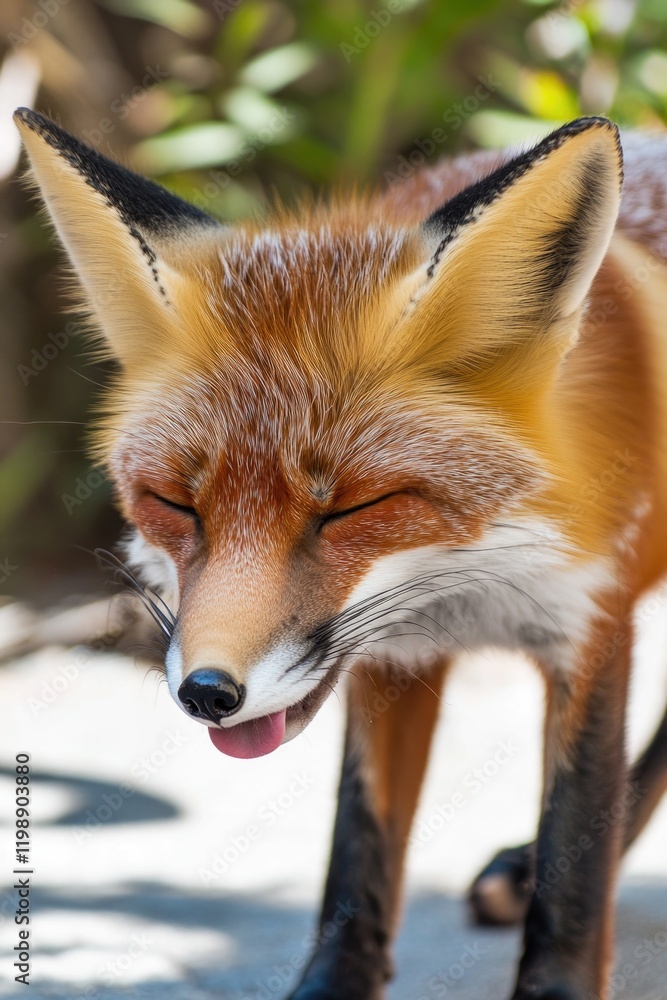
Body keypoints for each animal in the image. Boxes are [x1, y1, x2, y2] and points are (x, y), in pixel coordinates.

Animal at [14, 105, 667, 1000]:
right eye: (175, 503)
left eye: (352, 508)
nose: (207, 693)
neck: (473, 582)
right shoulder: (392, 657)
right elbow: (359, 846)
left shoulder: (591, 623)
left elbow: (576, 848)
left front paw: (556, 970)